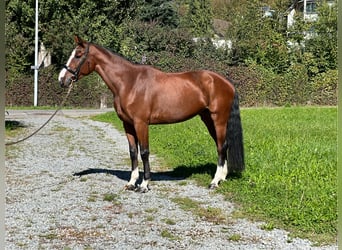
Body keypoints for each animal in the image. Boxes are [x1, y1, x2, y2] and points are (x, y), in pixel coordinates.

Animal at [58, 35, 243, 192]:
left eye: (78, 55)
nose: (62, 79)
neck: (129, 82)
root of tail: (225, 82)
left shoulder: (141, 123)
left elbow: (145, 152)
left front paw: (144, 184)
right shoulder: (128, 124)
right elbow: (133, 152)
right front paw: (131, 183)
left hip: (218, 119)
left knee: (221, 146)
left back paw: (214, 182)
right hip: (208, 119)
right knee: (223, 145)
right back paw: (222, 178)